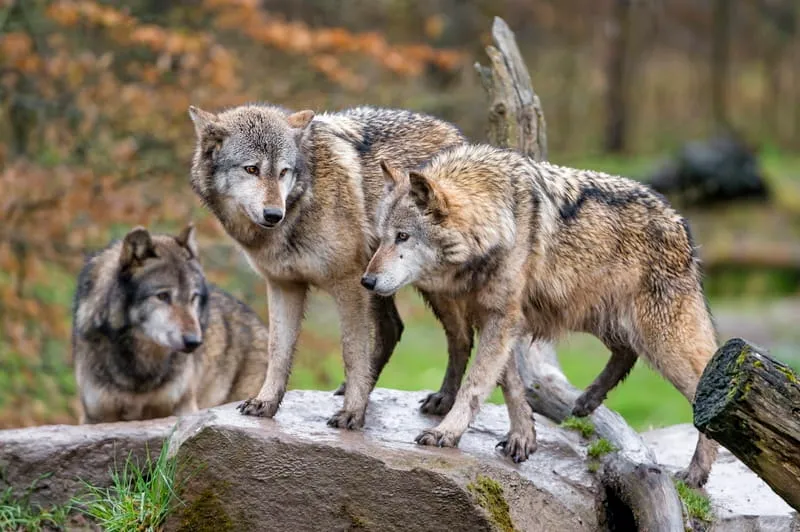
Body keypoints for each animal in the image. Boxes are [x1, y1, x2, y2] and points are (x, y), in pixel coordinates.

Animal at [72, 224, 270, 424]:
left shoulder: (183, 408)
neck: (142, 367)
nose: (194, 342)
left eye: (193, 297)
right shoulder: (97, 417)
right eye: (162, 296)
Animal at [188, 104, 473, 430]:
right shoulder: (283, 285)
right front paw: (266, 402)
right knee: (393, 329)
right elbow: (278, 352)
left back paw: (443, 400)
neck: (301, 204)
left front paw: (352, 413)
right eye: (251, 169)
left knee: (461, 338)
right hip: (378, 283)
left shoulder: (348, 284)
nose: (274, 214)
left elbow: (351, 352)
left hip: (428, 285)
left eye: (283, 171)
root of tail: (457, 136)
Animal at [363, 144, 719, 487]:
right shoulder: (494, 318)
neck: (499, 220)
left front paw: (445, 433)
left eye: (403, 237)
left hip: (659, 340)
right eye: (381, 237)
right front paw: (522, 437)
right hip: (595, 314)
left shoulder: (502, 319)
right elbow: (511, 385)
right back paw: (587, 401)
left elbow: (476, 385)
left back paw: (696, 472)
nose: (366, 281)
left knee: (702, 378)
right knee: (625, 352)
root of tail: (680, 220)